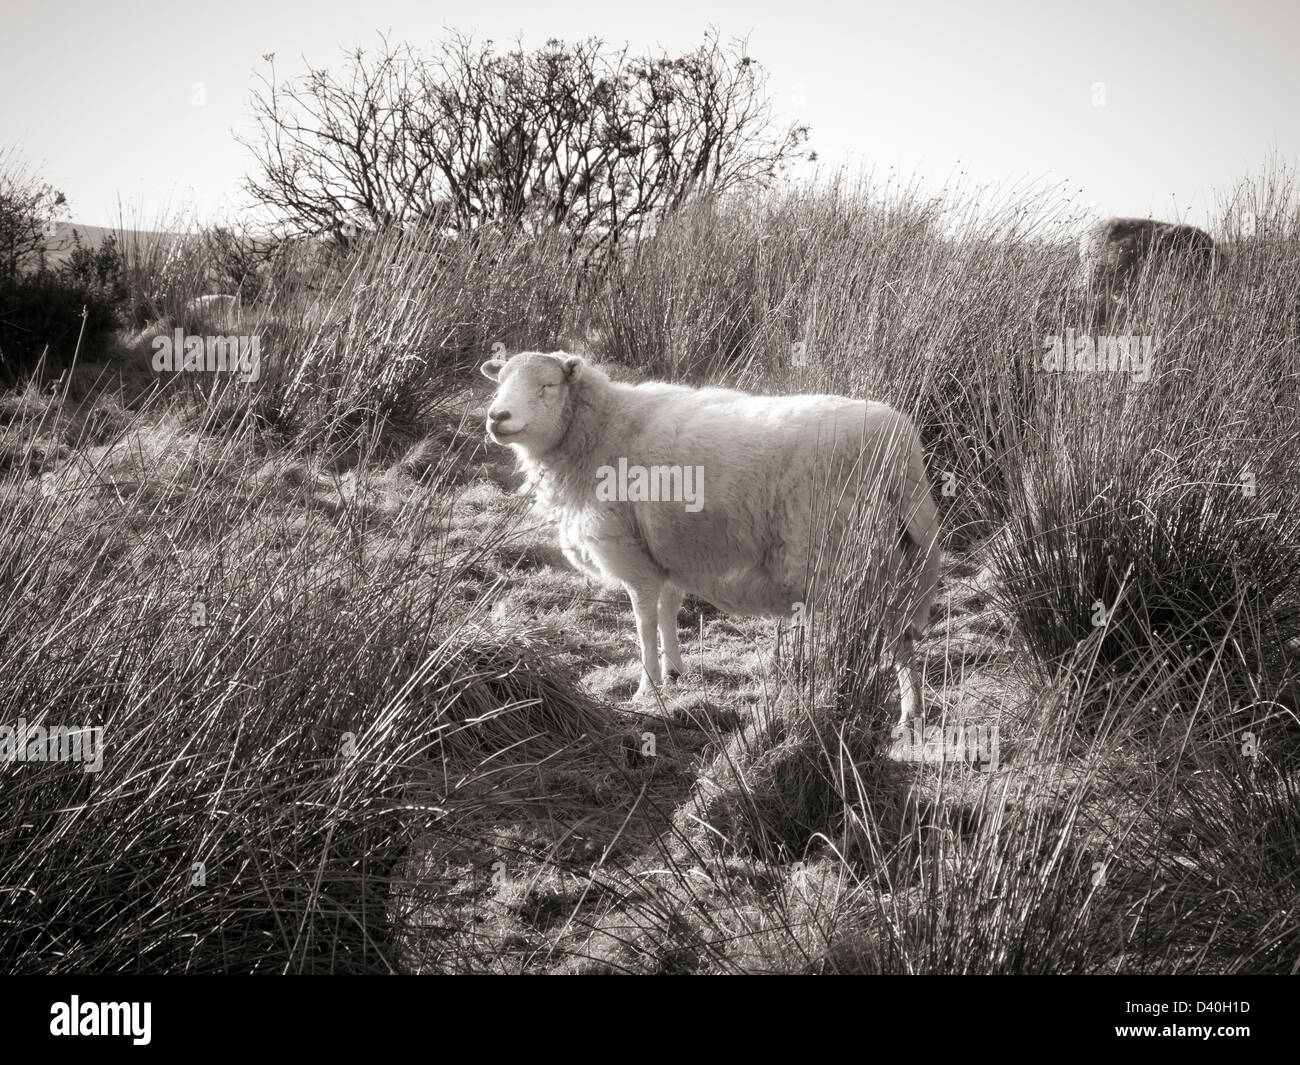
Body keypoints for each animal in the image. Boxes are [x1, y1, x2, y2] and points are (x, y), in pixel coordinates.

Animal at [483, 353, 941, 723]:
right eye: (499, 381)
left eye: (547, 386)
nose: (496, 416)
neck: (602, 429)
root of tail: (902, 450)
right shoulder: (664, 551)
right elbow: (668, 609)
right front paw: (674, 672)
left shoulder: (631, 554)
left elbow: (644, 621)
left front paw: (646, 688)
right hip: (894, 559)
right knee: (901, 635)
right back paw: (909, 710)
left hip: (849, 558)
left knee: (889, 634)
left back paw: (882, 705)